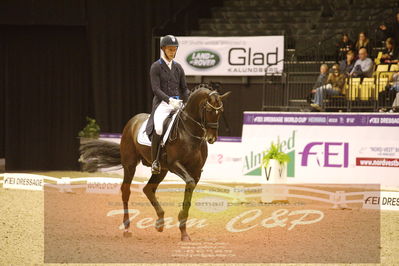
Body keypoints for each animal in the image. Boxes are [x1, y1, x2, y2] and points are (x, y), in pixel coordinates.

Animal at [80, 85, 231, 241]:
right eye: (209, 110)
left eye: (221, 111)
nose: (211, 138)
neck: (189, 133)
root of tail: (133, 120)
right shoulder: (174, 164)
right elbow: (189, 183)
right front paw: (181, 225)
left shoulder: (196, 172)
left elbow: (189, 193)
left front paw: (184, 233)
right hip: (130, 165)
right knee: (126, 191)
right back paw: (127, 228)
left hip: (161, 170)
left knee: (148, 189)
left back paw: (160, 223)